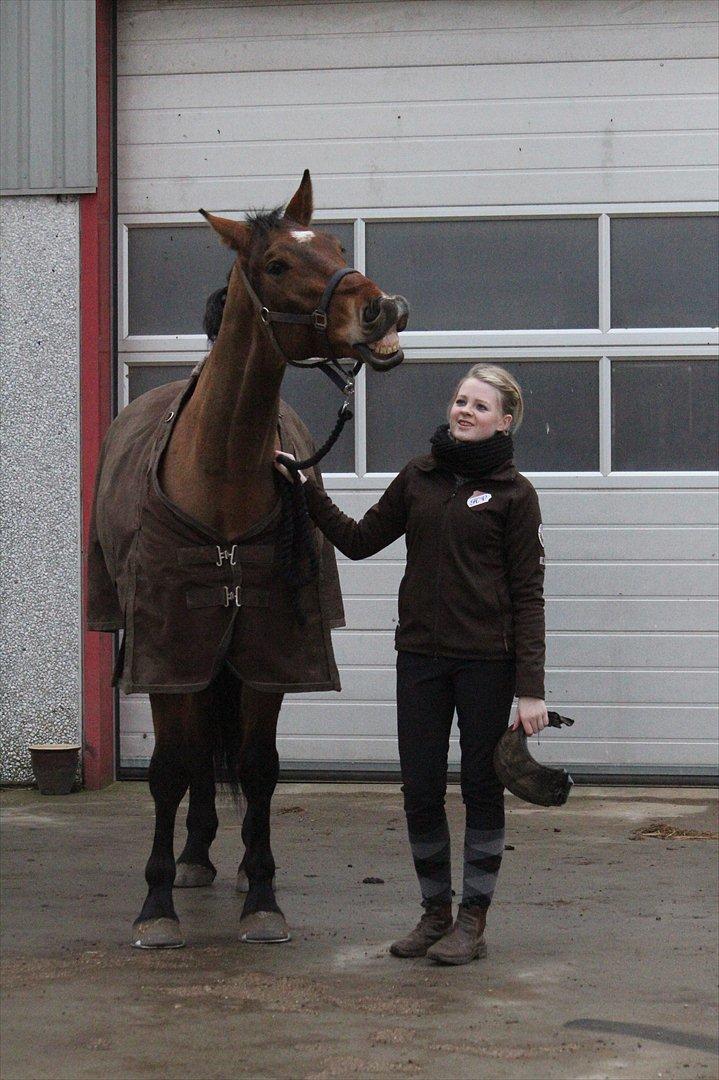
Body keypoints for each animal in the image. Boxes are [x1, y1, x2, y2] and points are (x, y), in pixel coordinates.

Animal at [86, 168, 405, 946]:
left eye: (332, 244)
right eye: (278, 264)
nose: (381, 310)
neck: (219, 476)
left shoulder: (270, 645)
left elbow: (259, 767)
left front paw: (261, 897)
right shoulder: (169, 647)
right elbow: (169, 768)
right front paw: (157, 906)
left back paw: (210, 858)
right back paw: (191, 860)